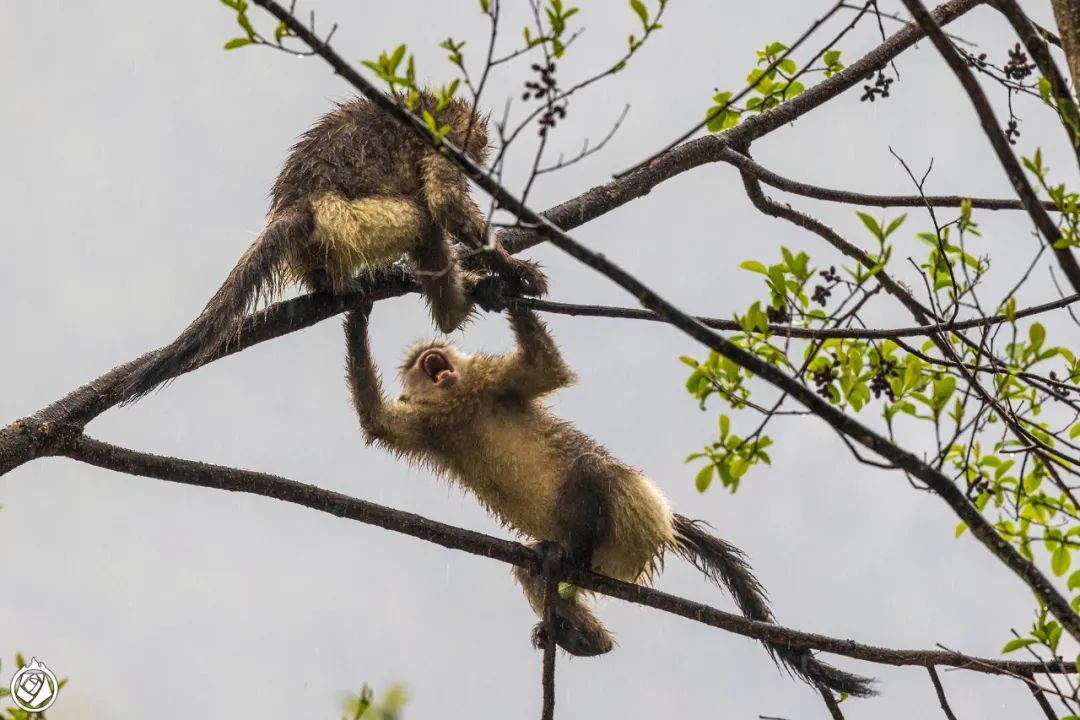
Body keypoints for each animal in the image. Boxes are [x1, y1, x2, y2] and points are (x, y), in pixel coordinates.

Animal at [121, 90, 544, 403]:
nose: (478, 166)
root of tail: (297, 203)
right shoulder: (448, 137)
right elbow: (446, 204)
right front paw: (514, 270)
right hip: (350, 219)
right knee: (424, 220)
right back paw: (453, 312)